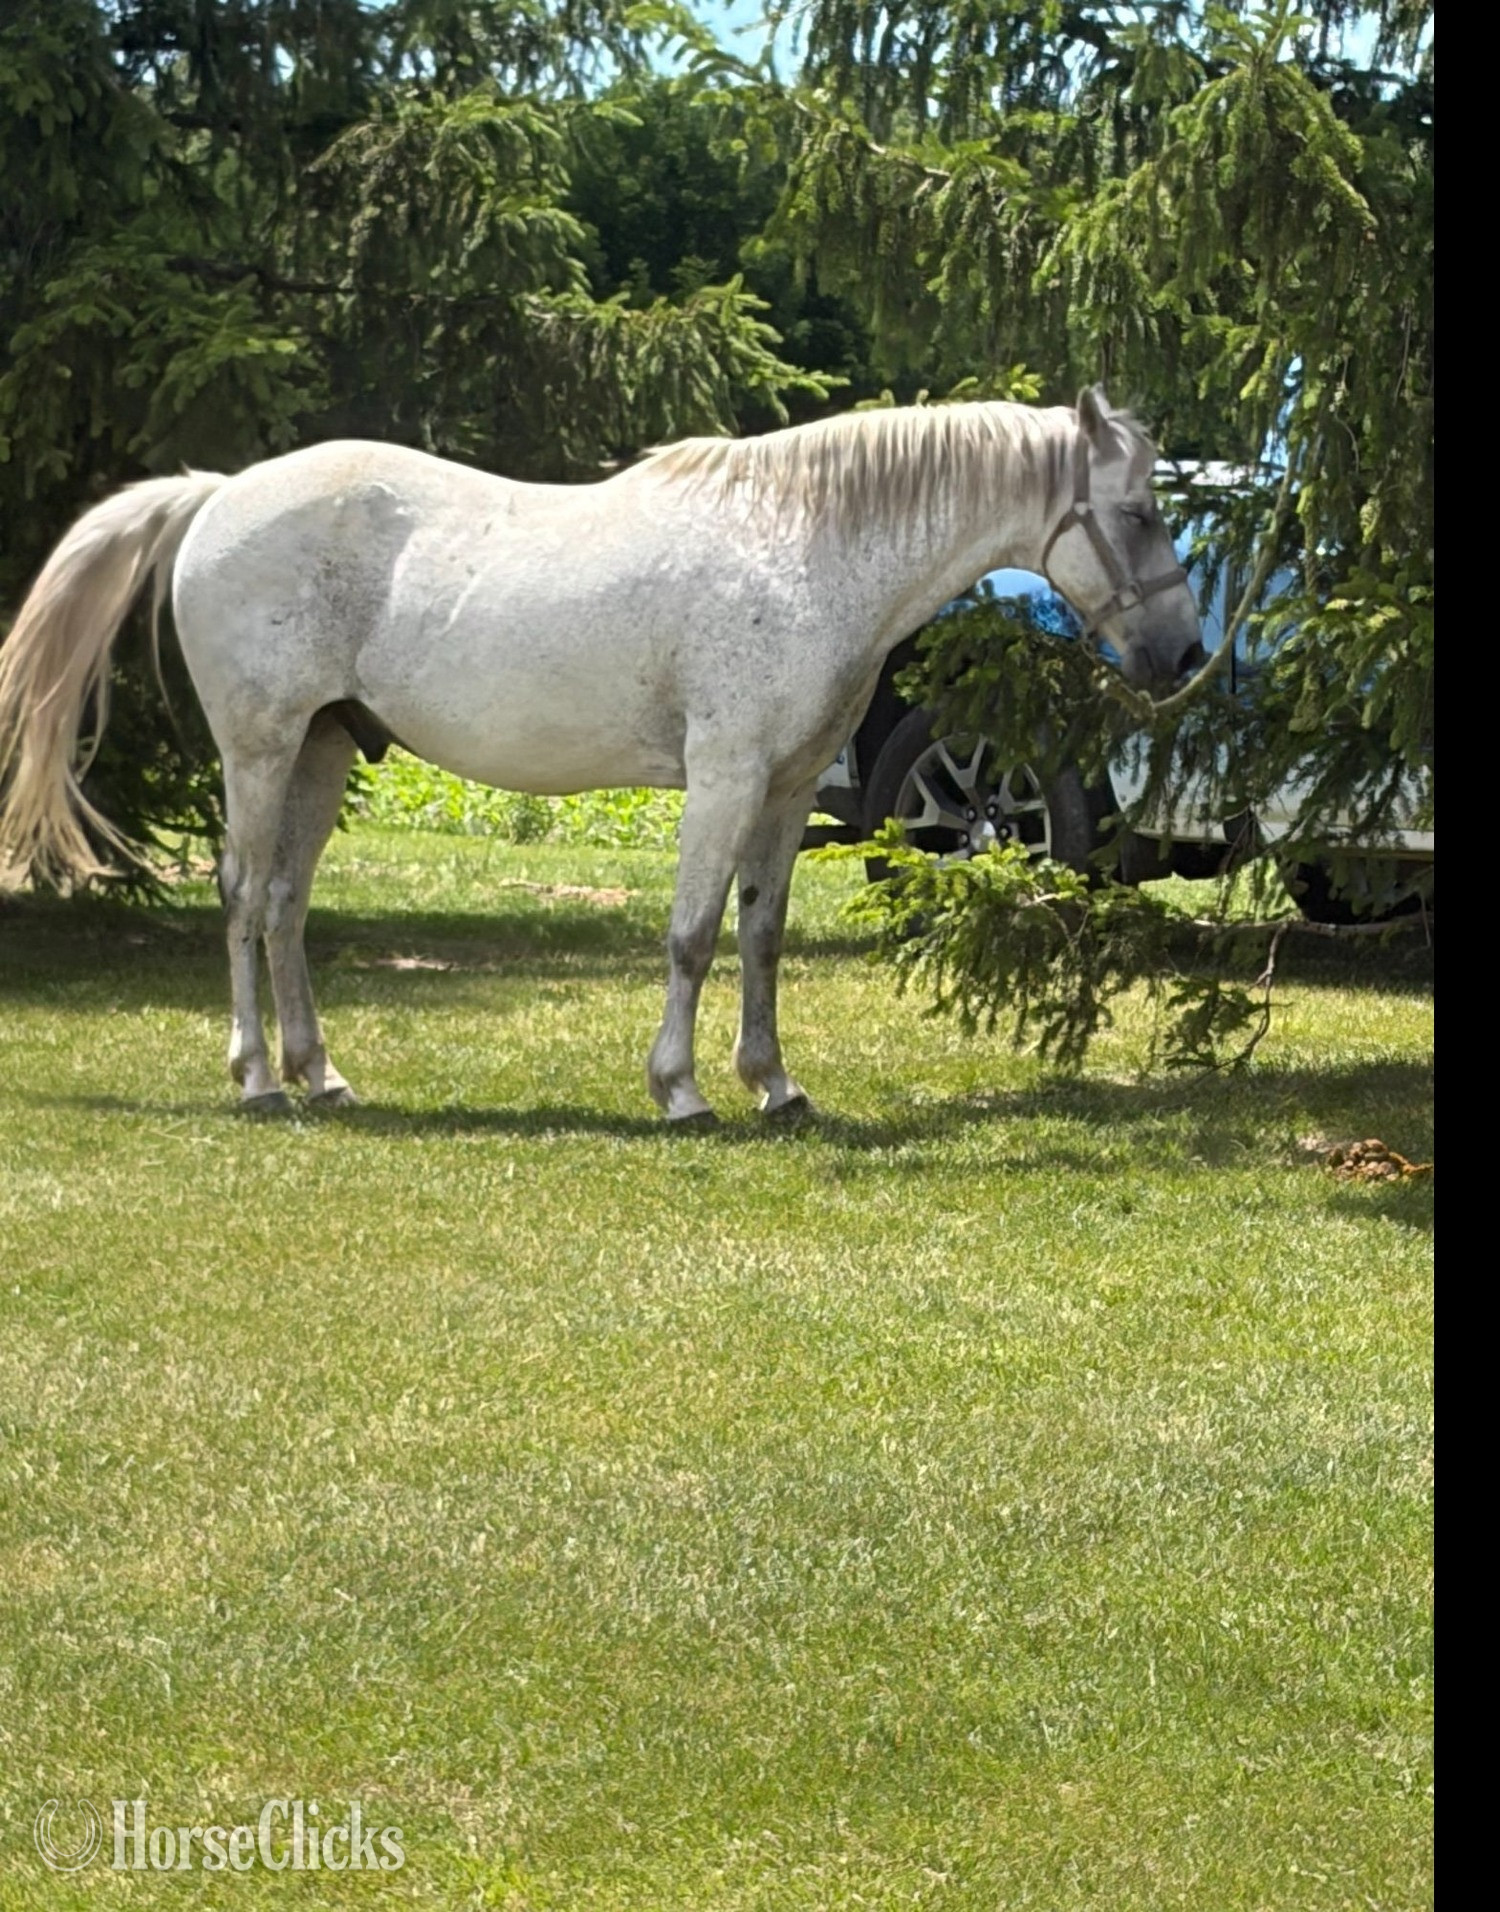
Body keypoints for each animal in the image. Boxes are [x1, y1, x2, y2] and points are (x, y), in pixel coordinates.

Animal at [0, 386, 1201, 1123]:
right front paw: (682, 1091)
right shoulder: (724, 779)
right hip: (259, 747)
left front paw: (775, 1085)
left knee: (288, 904)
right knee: (246, 897)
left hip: (322, 749)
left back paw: (322, 1075)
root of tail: (219, 494)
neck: (804, 549)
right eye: (1141, 513)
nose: (1185, 655)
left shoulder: (784, 791)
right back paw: (255, 1078)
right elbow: (692, 938)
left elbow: (761, 937)